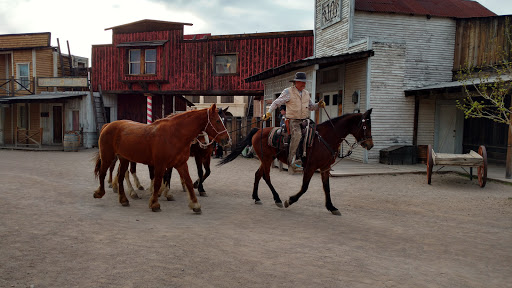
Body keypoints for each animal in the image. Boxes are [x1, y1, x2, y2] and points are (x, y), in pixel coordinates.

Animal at [94, 104, 232, 213]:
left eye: (225, 120)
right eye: (218, 121)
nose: (227, 139)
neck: (174, 134)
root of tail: (108, 125)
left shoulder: (181, 163)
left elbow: (188, 181)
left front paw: (195, 204)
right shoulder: (161, 164)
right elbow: (157, 182)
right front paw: (155, 203)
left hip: (124, 159)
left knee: (121, 176)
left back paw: (124, 199)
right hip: (108, 157)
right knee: (103, 172)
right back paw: (100, 192)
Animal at [218, 109, 374, 215]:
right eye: (365, 126)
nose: (370, 145)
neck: (325, 138)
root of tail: (257, 131)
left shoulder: (325, 168)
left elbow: (327, 188)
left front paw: (331, 207)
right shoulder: (310, 167)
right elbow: (304, 187)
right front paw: (290, 200)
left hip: (266, 159)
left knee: (258, 175)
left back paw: (256, 197)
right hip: (267, 159)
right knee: (266, 177)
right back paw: (278, 199)